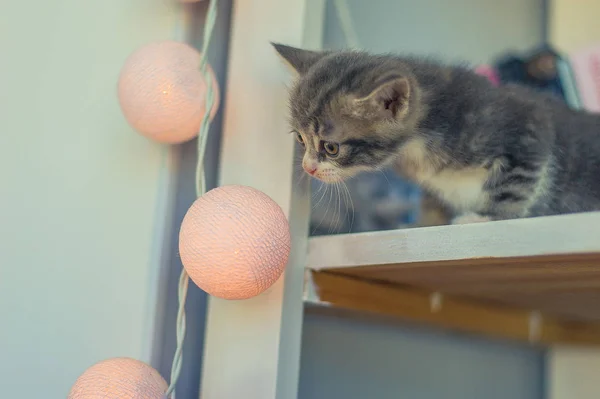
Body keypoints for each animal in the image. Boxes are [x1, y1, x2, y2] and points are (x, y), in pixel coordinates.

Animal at [274, 44, 600, 225]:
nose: (307, 167)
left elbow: (515, 186)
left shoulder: (529, 126)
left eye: (331, 148)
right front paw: (425, 223)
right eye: (300, 139)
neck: (415, 148)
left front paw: (488, 217)